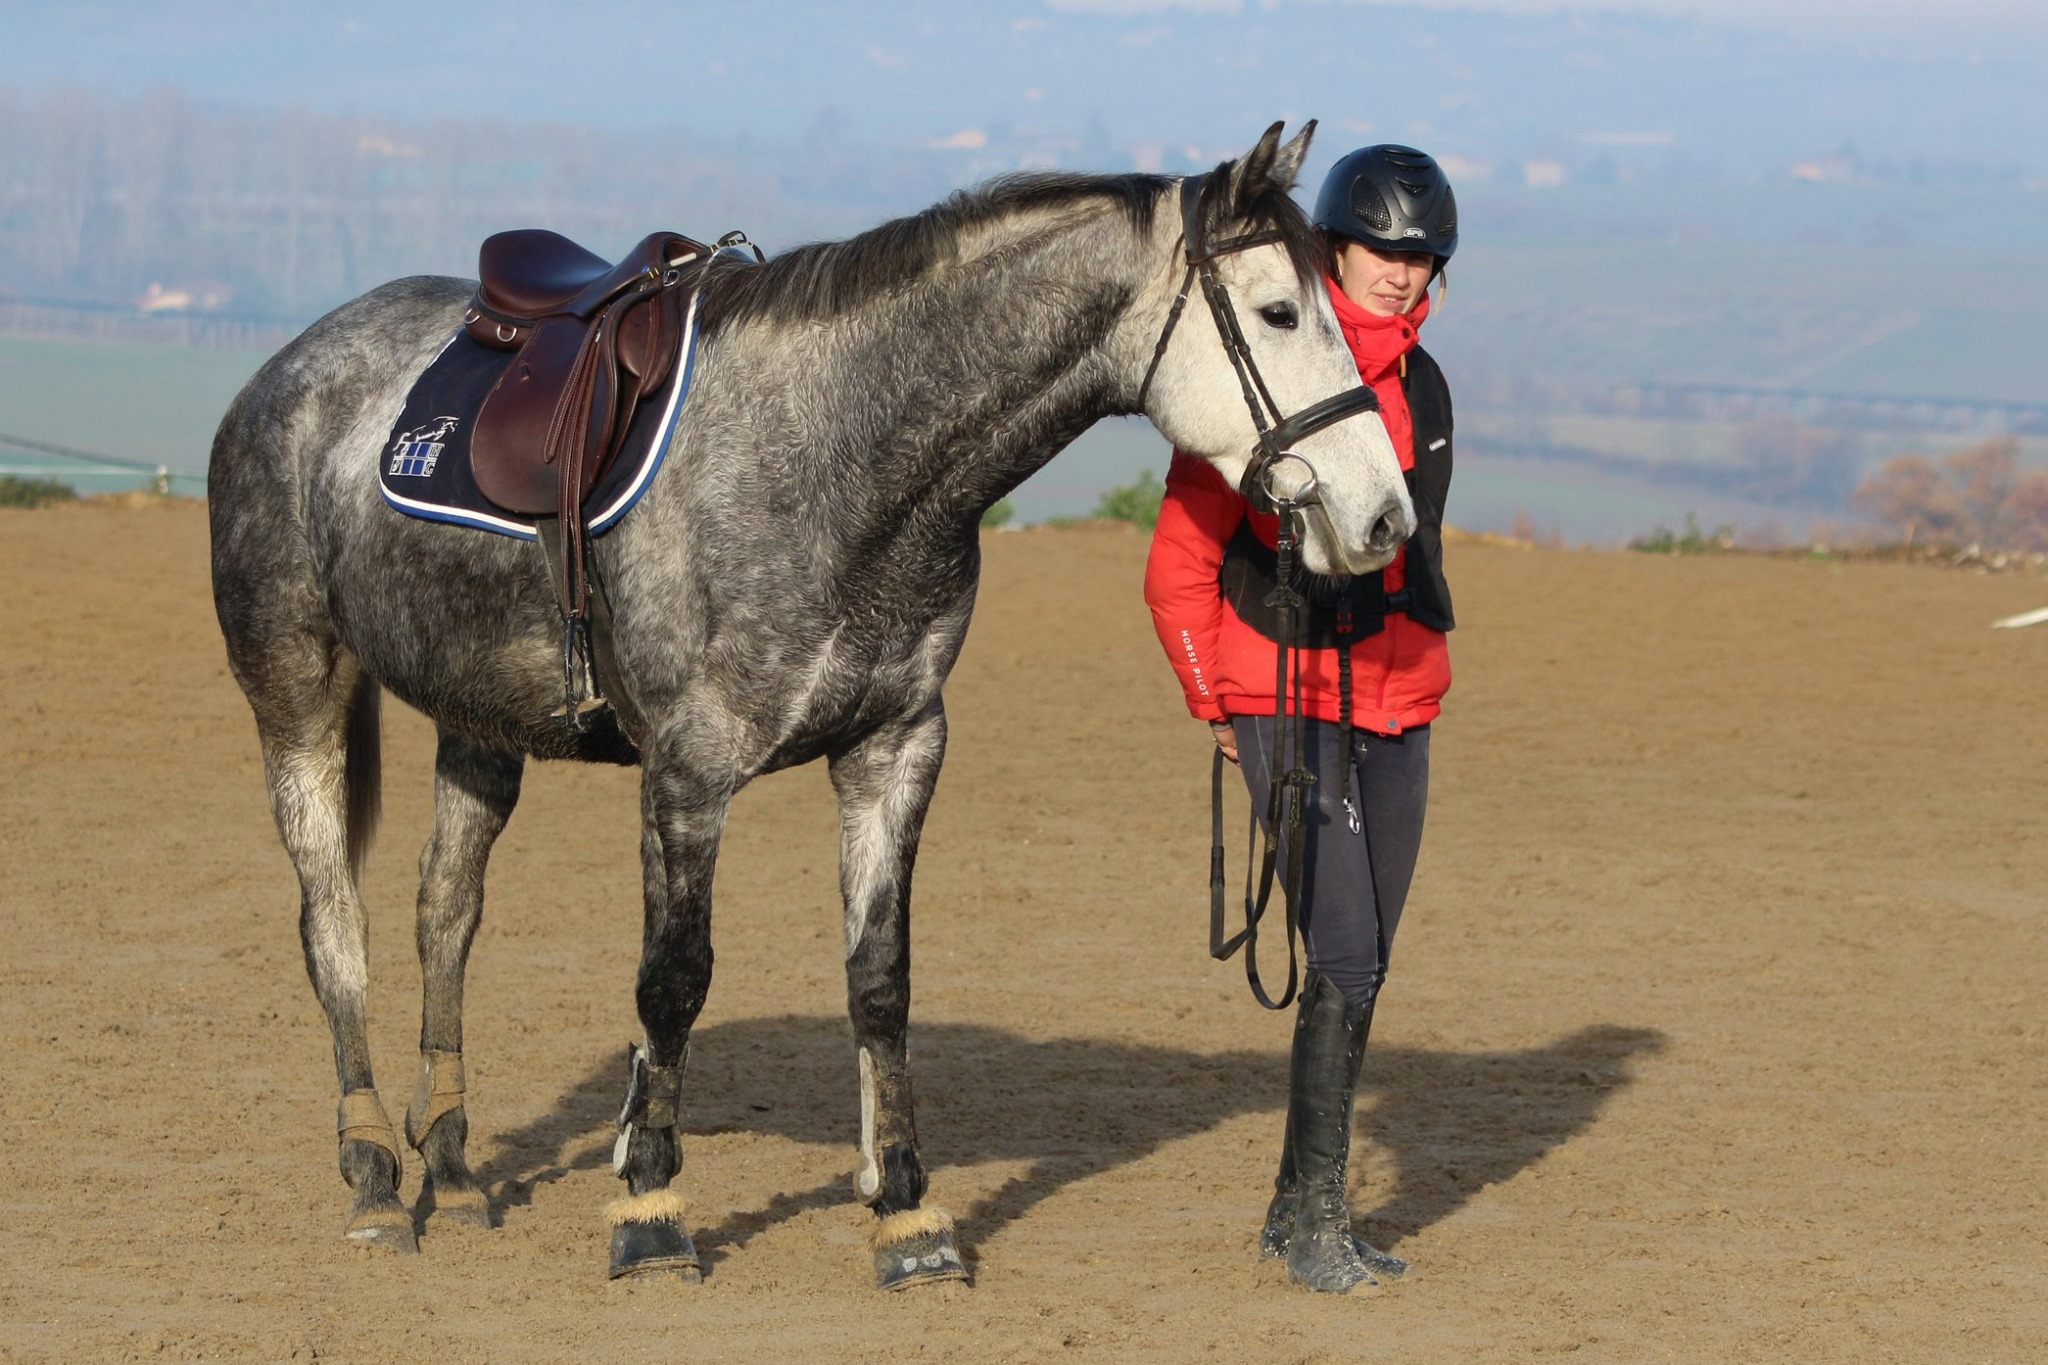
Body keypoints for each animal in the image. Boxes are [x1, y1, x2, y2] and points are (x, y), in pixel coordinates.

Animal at [211, 120, 1425, 1293]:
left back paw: (455, 1172)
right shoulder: (690, 770)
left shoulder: (895, 749)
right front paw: (650, 1209)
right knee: (334, 925)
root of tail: (289, 369)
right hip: (297, 691)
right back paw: (375, 1179)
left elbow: (879, 981)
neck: (838, 455)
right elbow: (674, 980)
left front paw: (907, 1215)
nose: (1383, 518)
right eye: (1278, 312)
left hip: (478, 723)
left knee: (445, 914)